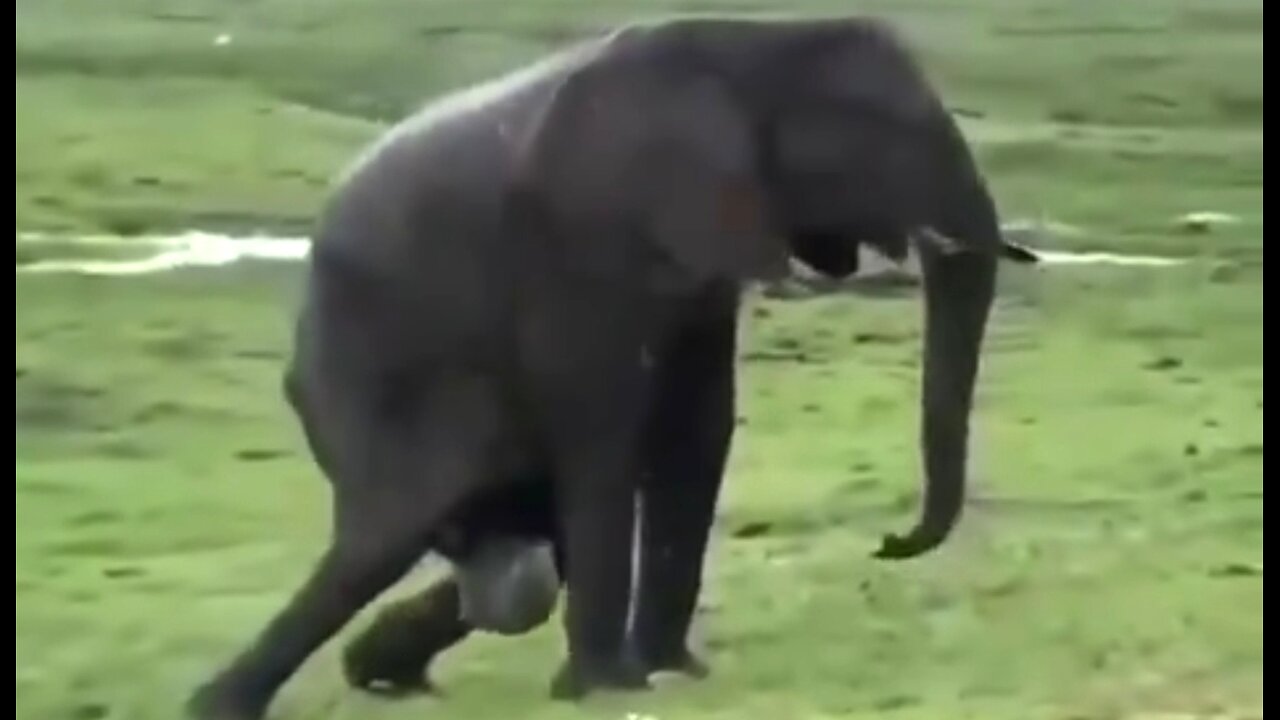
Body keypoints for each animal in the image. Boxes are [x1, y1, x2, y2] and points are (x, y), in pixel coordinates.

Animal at [186, 15, 1039, 720]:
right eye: (883, 135)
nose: (889, 544)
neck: (749, 42)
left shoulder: (698, 254)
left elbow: (697, 428)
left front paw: (673, 675)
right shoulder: (578, 240)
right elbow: (605, 429)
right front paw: (604, 690)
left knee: (504, 552)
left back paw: (379, 671)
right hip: (362, 383)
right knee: (388, 537)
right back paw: (221, 704)